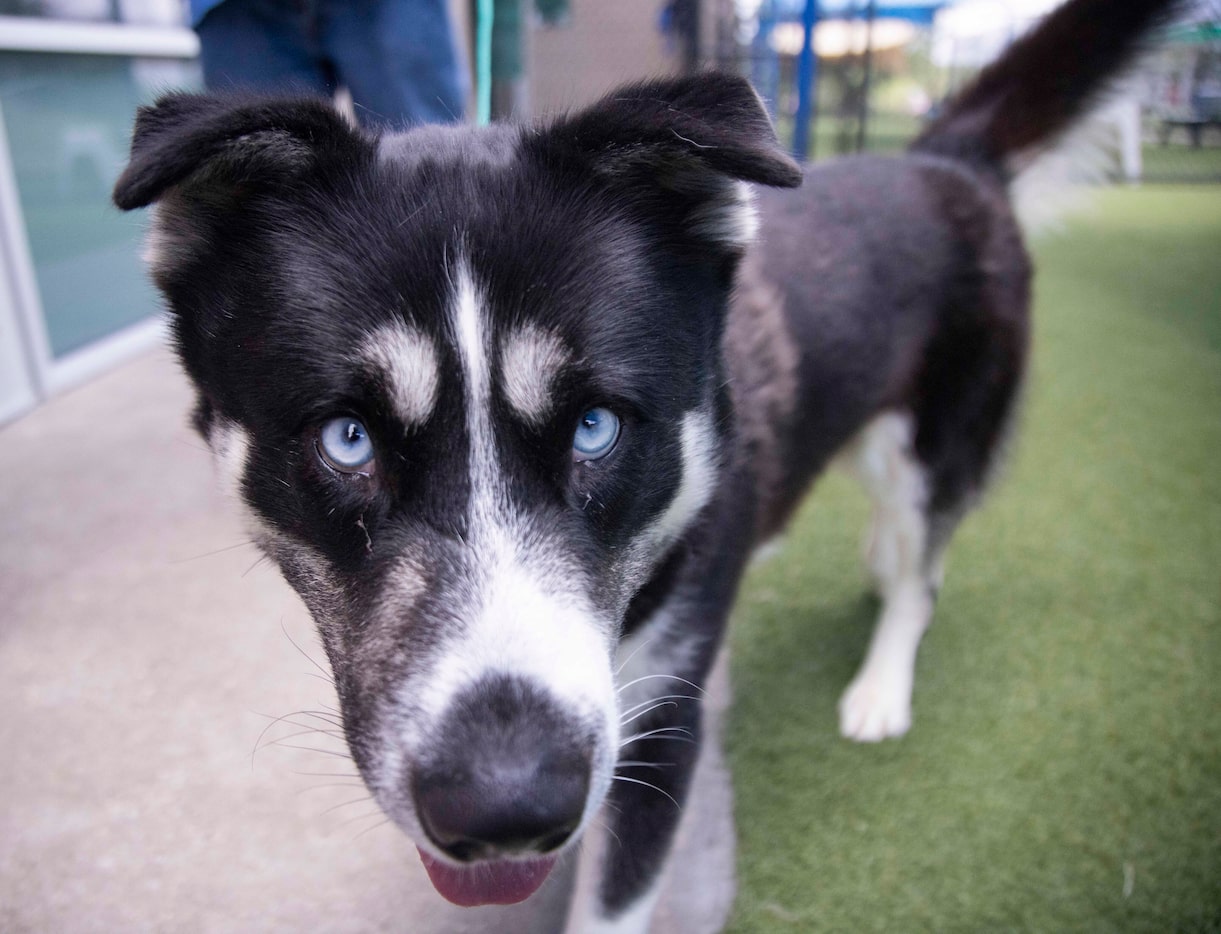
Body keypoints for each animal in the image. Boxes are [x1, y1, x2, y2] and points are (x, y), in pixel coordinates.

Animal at [116, 1, 1181, 927]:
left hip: (935, 439)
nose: (505, 809)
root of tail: (941, 160)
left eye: (596, 428)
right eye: (347, 439)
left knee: (924, 563)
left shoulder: (662, 731)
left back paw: (883, 680)